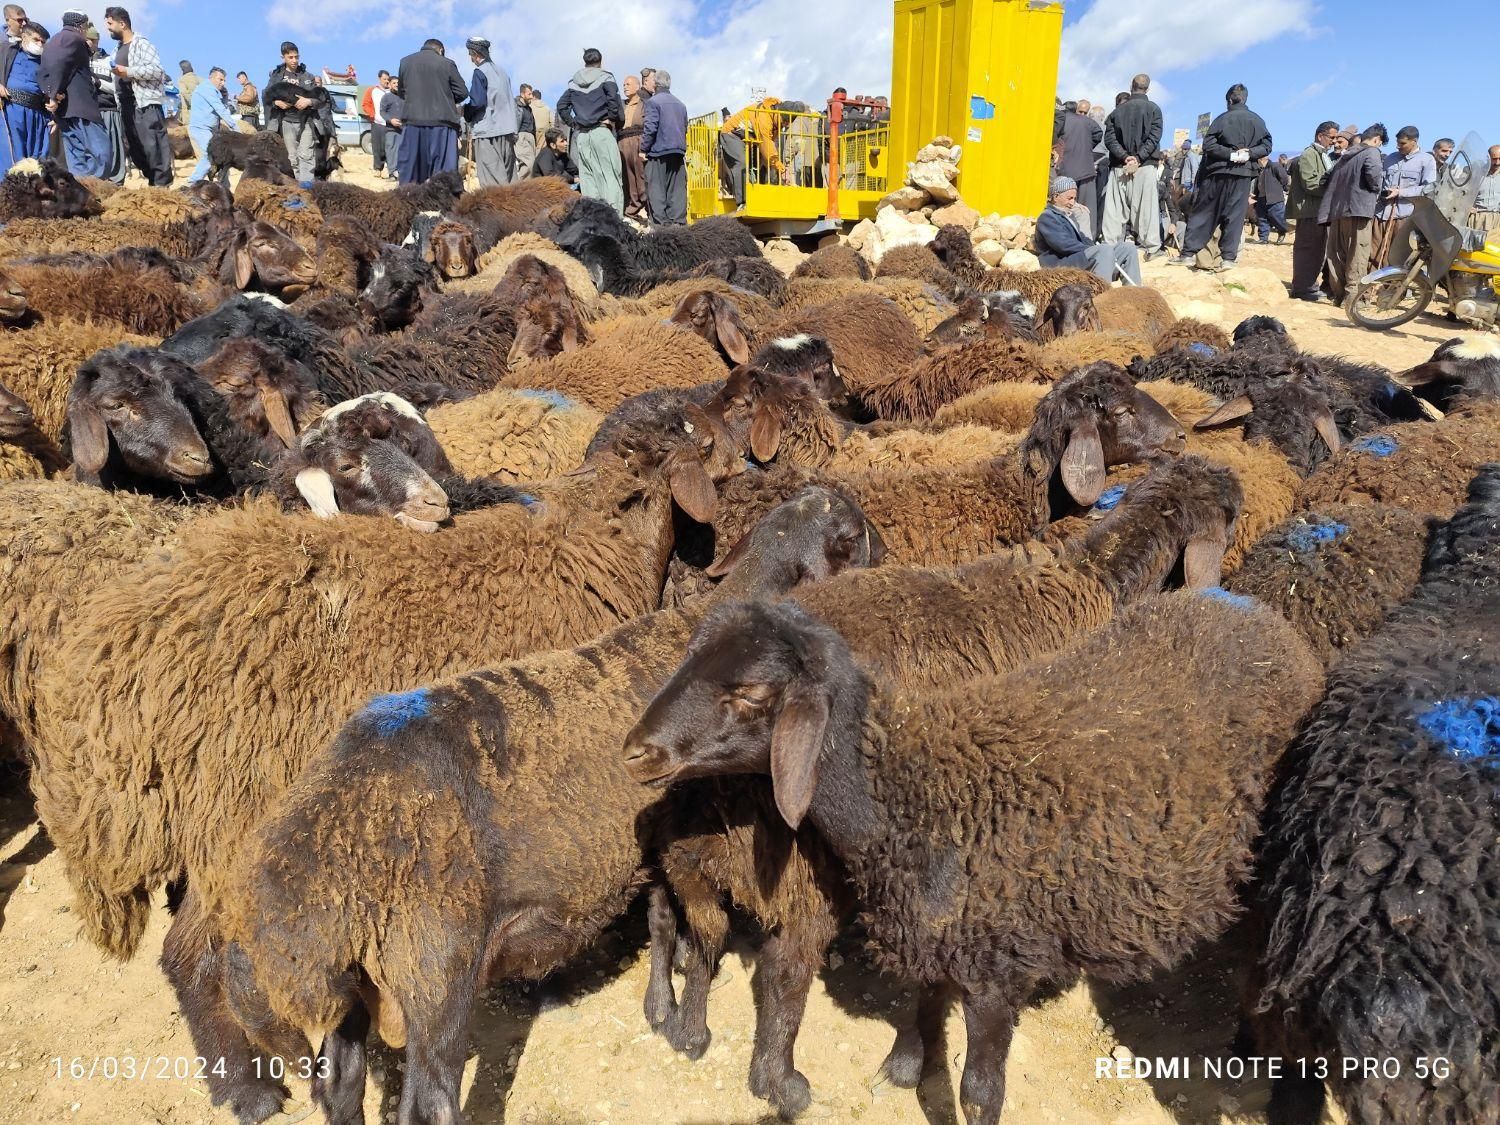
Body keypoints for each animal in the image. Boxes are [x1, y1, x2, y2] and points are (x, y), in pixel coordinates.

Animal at [627, 591, 1320, 1125]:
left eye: (748, 693)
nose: (635, 751)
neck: (913, 791)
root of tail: (1261, 616)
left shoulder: (997, 966)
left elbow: (980, 1093)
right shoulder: (936, 930)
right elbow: (924, 999)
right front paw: (906, 1065)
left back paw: (1254, 1044)